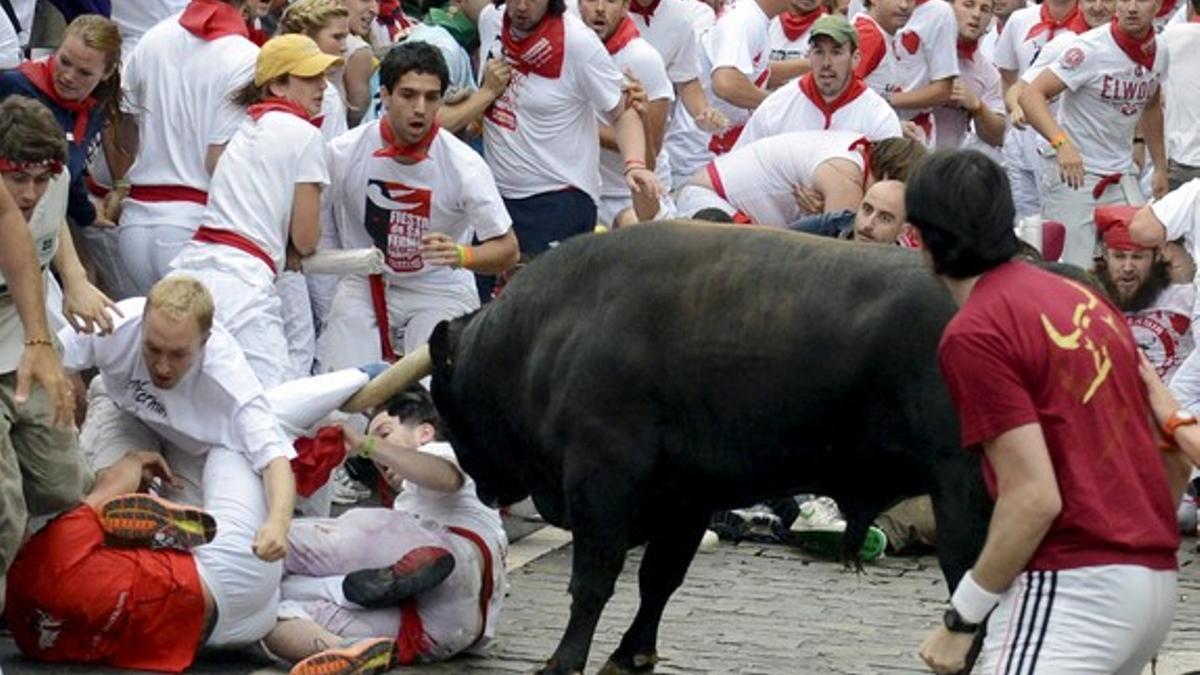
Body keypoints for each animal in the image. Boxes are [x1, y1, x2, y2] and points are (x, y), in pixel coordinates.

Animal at [427, 224, 988, 672]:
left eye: (442, 400)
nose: (479, 482)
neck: (551, 328)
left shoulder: (601, 479)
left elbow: (594, 580)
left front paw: (563, 662)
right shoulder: (687, 497)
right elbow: (659, 578)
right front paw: (631, 654)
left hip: (964, 500)